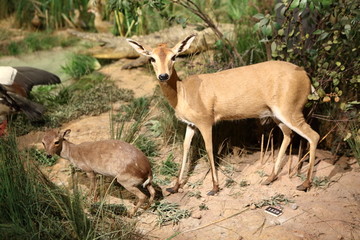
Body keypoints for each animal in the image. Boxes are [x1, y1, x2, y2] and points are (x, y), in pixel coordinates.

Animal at [127, 34, 320, 195]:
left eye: (173, 56)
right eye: (152, 57)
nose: (163, 76)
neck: (182, 92)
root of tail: (306, 76)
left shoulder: (206, 123)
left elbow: (209, 149)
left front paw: (214, 187)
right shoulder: (190, 125)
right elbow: (185, 148)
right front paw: (175, 187)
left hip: (290, 112)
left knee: (313, 136)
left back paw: (304, 184)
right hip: (277, 116)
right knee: (288, 135)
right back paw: (269, 178)